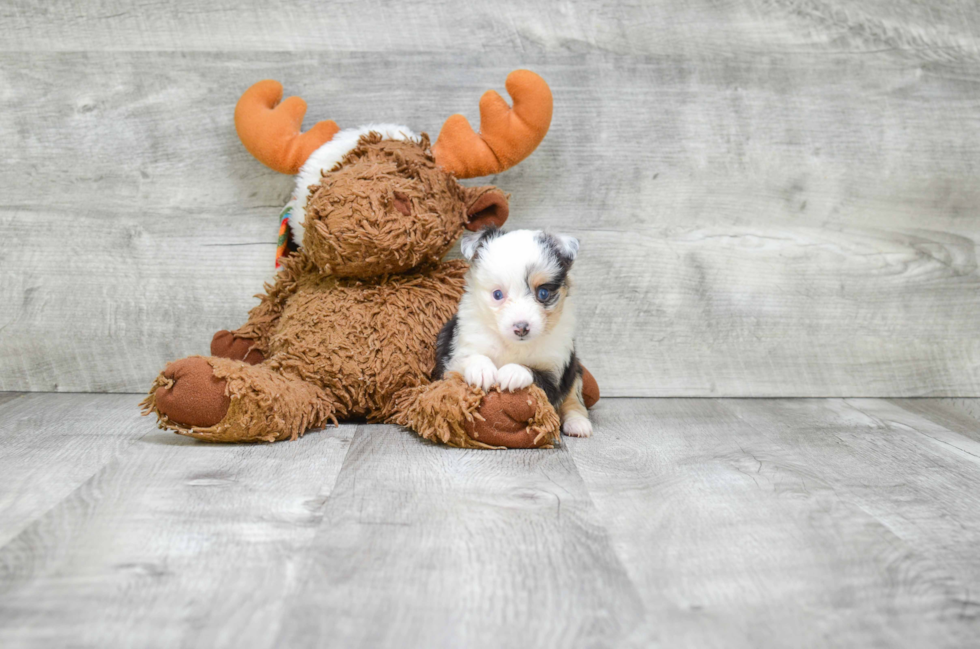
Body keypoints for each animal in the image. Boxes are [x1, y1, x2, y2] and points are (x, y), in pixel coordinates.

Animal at [434, 227, 588, 436]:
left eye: (543, 293)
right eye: (497, 294)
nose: (521, 327)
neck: (512, 344)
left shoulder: (554, 369)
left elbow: (534, 372)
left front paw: (512, 372)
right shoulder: (456, 353)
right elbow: (470, 359)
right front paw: (481, 370)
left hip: (574, 370)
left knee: (573, 398)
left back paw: (578, 423)